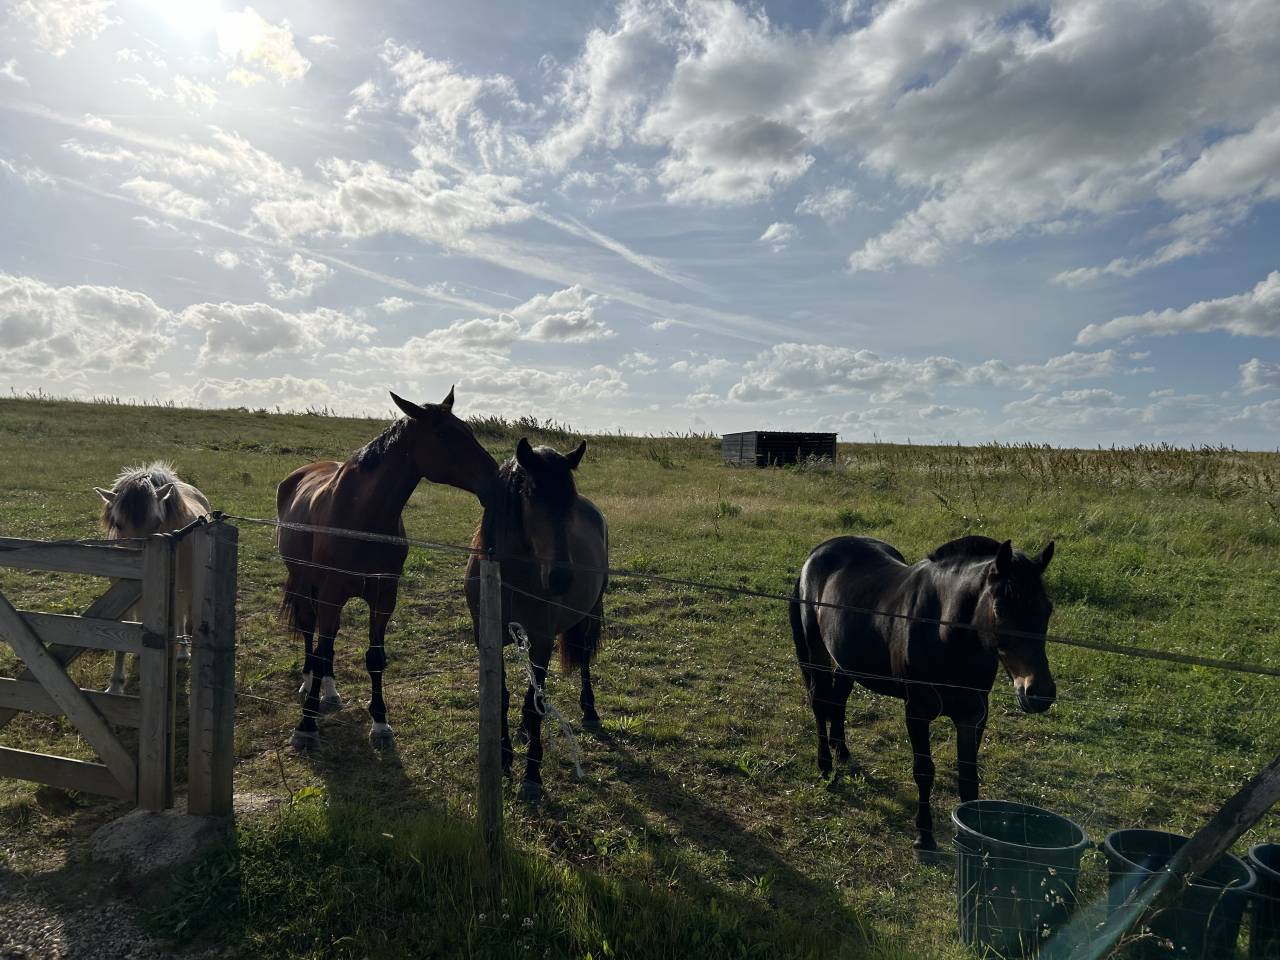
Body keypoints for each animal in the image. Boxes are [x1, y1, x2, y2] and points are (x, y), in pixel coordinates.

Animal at [94, 462, 211, 694]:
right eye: (117, 524)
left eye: (157, 522)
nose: (139, 570)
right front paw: (115, 686)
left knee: (182, 617)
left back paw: (183, 652)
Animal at [277, 388, 498, 750]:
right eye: (445, 435)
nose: (496, 481)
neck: (362, 517)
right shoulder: (332, 593)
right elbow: (323, 649)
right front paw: (306, 726)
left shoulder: (384, 595)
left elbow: (375, 658)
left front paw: (380, 723)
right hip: (304, 581)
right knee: (311, 633)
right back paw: (309, 684)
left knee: (326, 640)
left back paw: (330, 692)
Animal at [465, 437, 608, 803]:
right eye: (530, 493)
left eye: (568, 500)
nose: (561, 578)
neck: (510, 575)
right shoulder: (488, 637)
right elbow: (502, 697)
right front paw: (503, 759)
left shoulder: (542, 640)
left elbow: (533, 702)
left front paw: (532, 776)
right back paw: (524, 732)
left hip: (588, 615)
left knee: (583, 660)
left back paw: (589, 711)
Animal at [789, 534, 1056, 854]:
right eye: (1001, 609)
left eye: (1047, 609)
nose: (1039, 692)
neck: (945, 632)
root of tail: (818, 551)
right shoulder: (917, 711)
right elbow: (924, 771)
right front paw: (924, 837)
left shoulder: (974, 715)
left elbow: (968, 776)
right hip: (816, 648)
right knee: (819, 702)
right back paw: (826, 767)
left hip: (845, 657)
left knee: (838, 699)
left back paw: (843, 753)